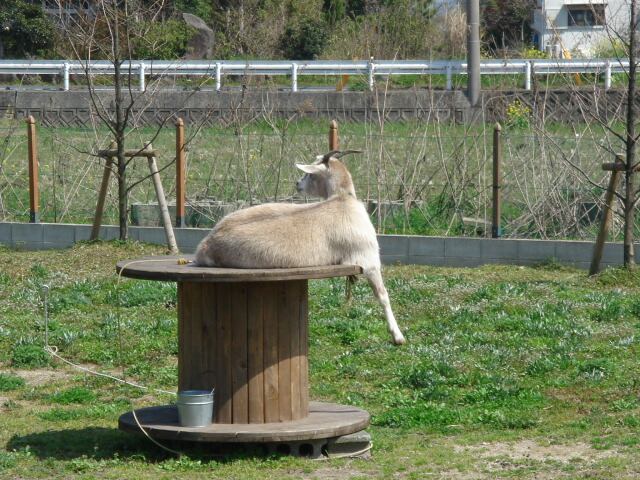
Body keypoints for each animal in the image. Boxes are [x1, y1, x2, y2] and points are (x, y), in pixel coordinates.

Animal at [192, 150, 408, 344]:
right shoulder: (368, 260)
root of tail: (206, 244)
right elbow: (383, 296)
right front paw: (397, 336)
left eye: (310, 174)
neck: (343, 200)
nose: (297, 184)